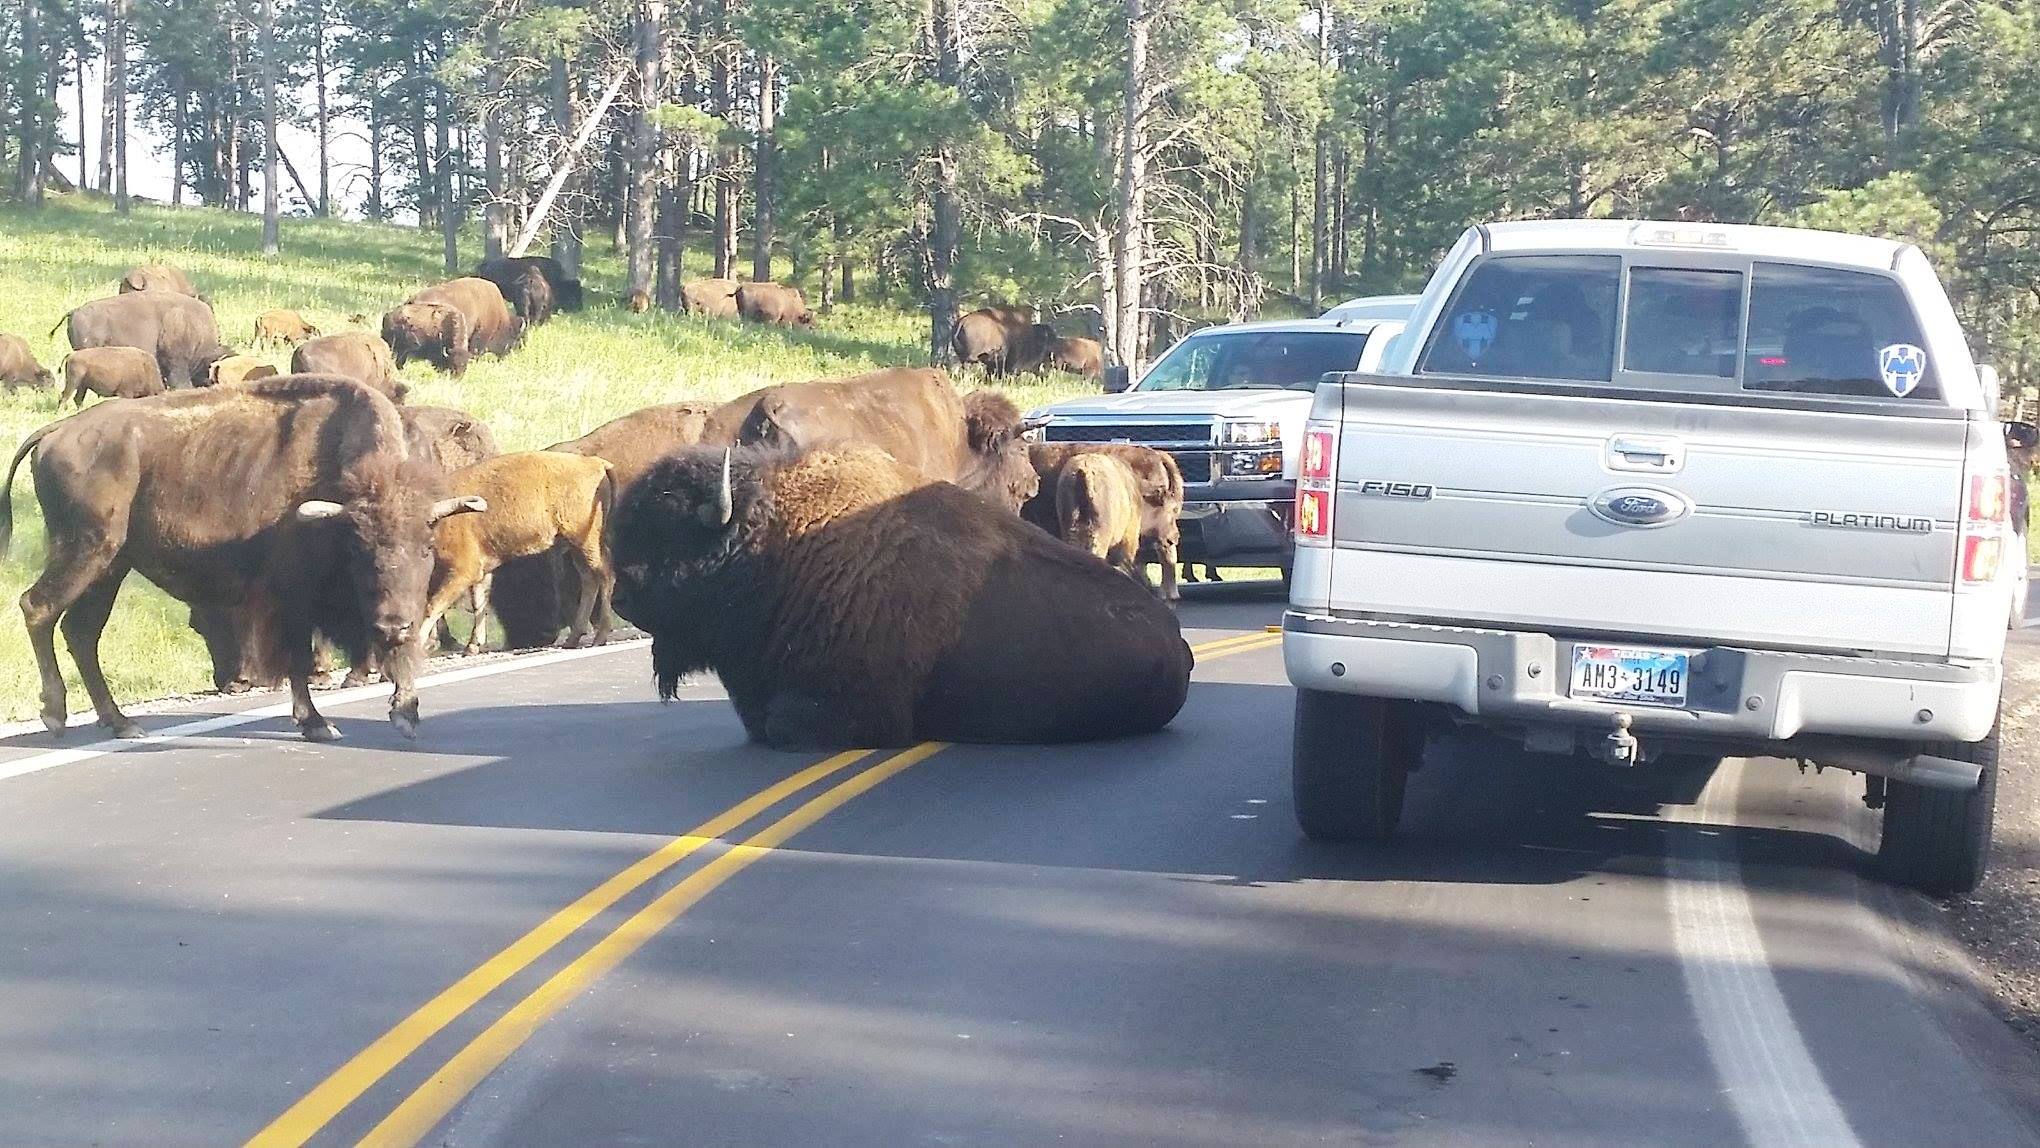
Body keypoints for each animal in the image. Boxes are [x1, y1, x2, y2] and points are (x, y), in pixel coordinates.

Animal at [1, 375, 483, 741]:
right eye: (358, 549)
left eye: (426, 545)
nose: (393, 623)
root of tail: (55, 432)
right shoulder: (292, 594)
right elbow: (297, 655)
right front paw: (317, 723)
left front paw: (405, 713)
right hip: (85, 550)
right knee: (39, 608)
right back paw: (56, 715)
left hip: (110, 566)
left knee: (81, 632)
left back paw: (120, 723)